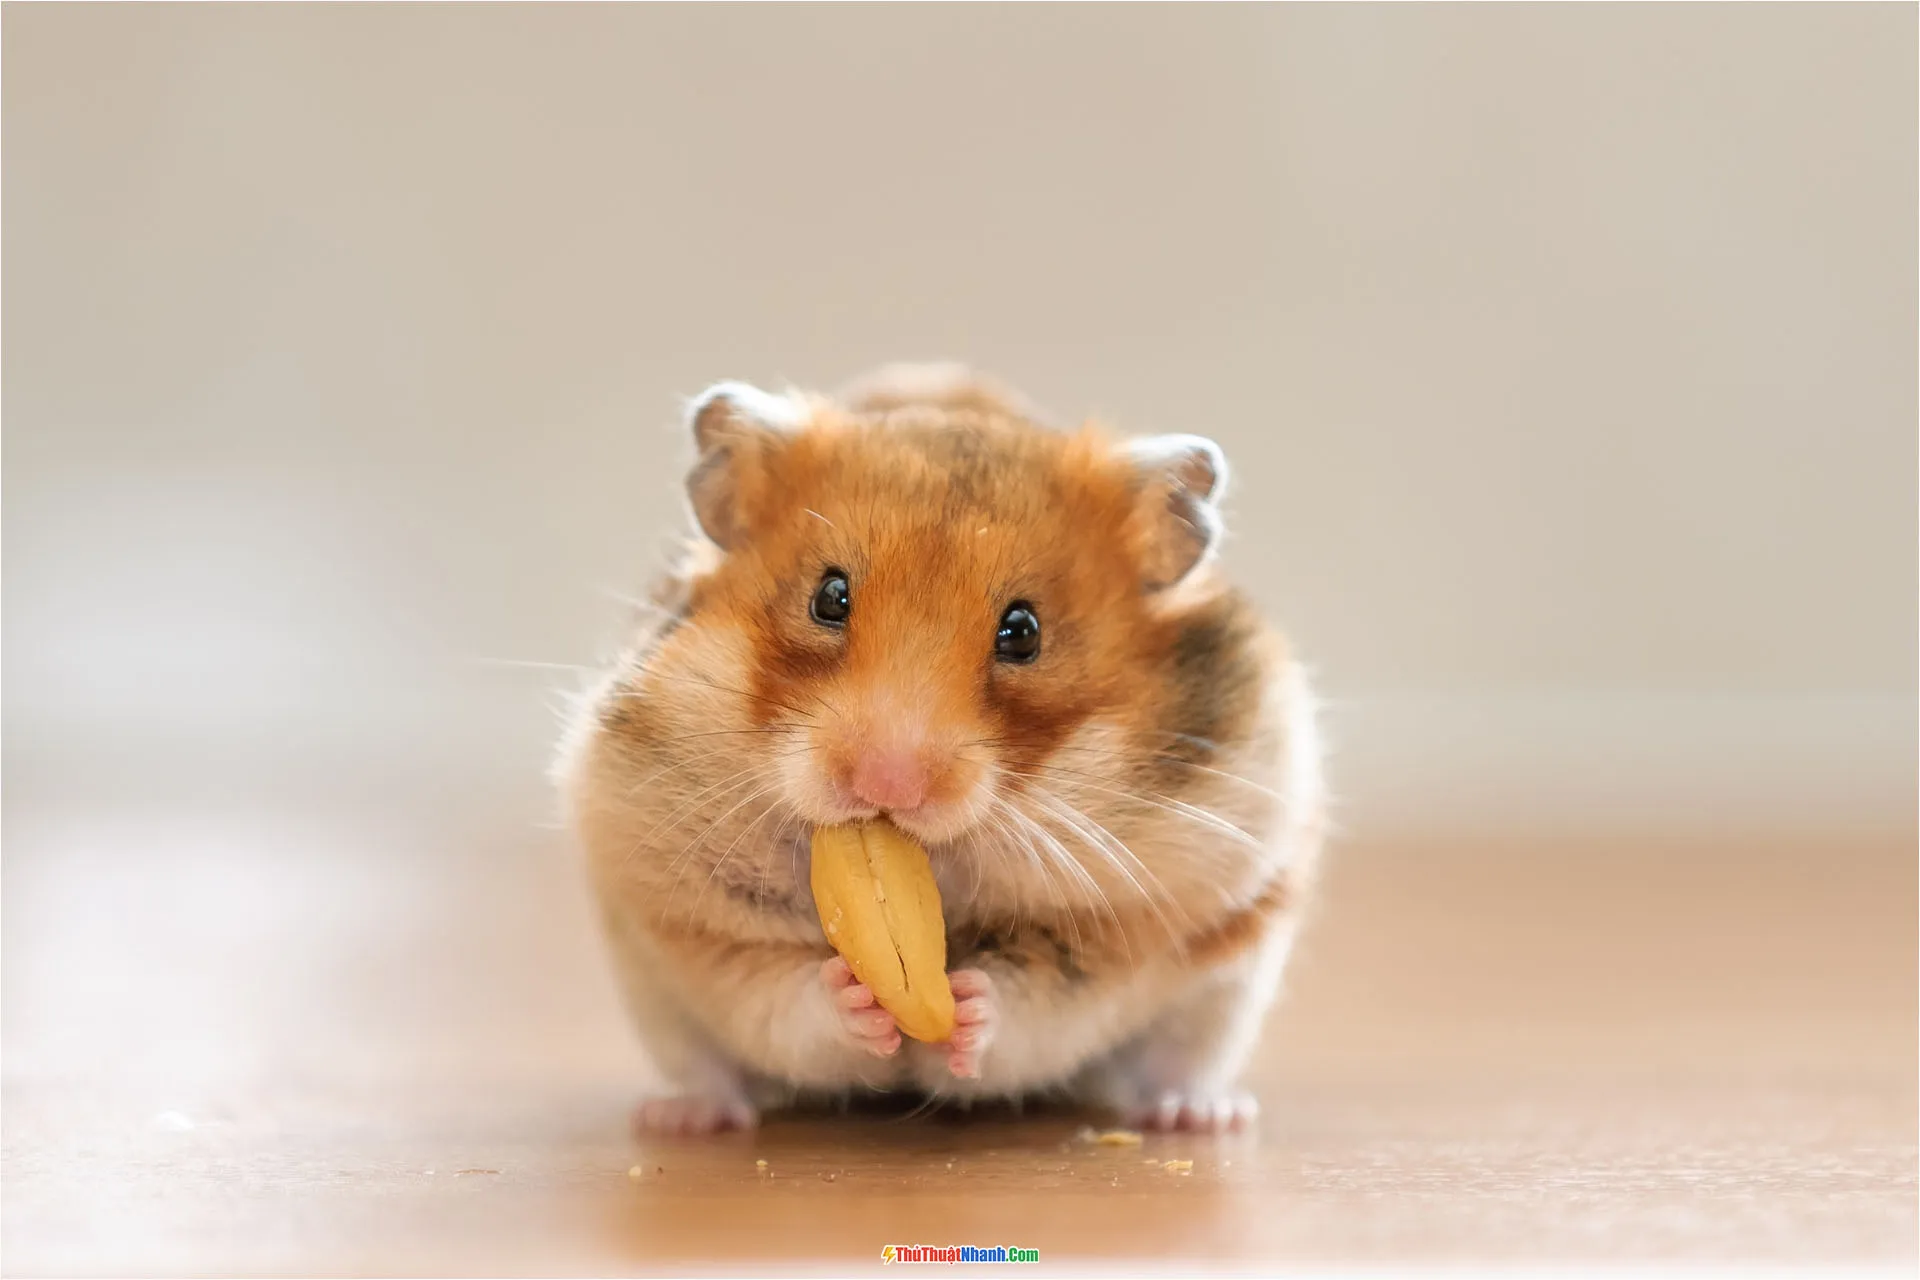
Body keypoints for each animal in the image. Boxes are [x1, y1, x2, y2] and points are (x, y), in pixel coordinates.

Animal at [553, 363, 1326, 1135]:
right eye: (828, 597)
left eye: (1024, 632)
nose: (886, 787)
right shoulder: (691, 917)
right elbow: (782, 993)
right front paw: (855, 996)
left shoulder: (1132, 924)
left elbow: (1037, 1000)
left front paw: (967, 1007)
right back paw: (683, 1118)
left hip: (1226, 991)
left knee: (1176, 1064)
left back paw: (1201, 1115)